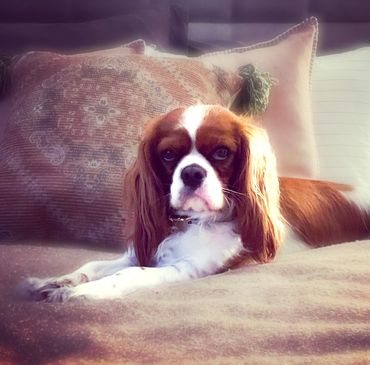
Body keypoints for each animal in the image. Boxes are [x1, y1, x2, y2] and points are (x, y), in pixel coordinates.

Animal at [20, 103, 370, 302]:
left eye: (221, 152)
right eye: (168, 154)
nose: (191, 173)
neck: (189, 223)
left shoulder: (187, 269)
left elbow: (129, 275)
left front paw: (80, 292)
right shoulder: (141, 251)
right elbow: (93, 266)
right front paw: (55, 281)